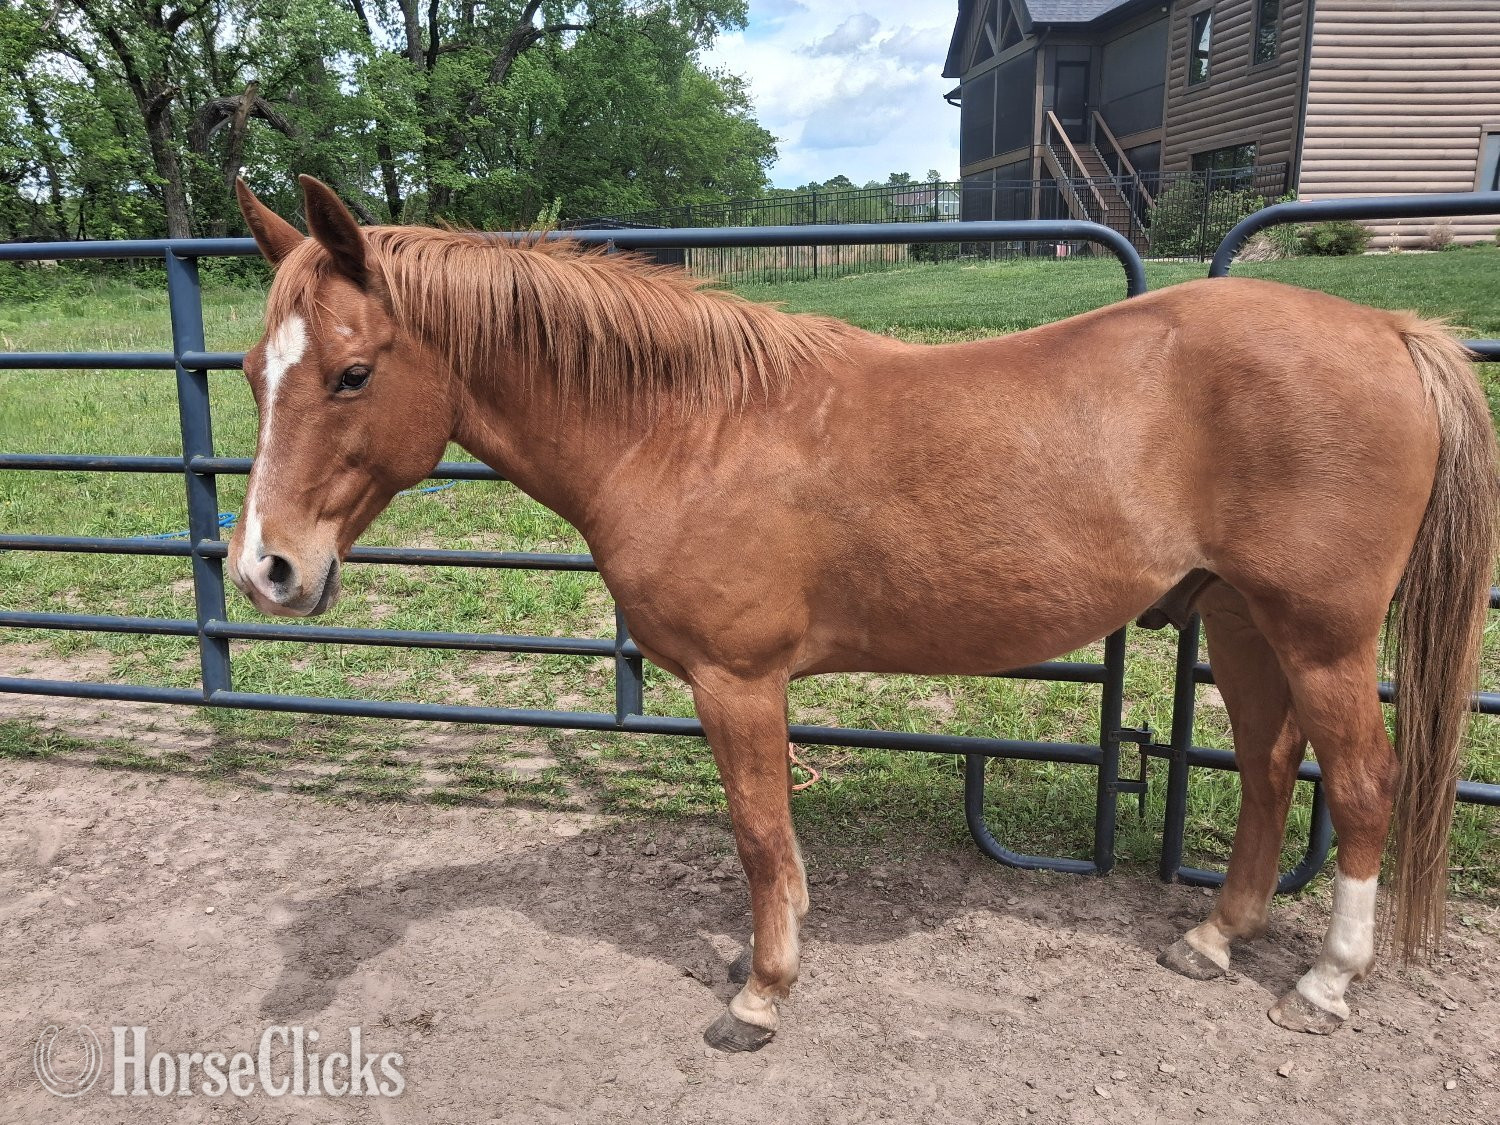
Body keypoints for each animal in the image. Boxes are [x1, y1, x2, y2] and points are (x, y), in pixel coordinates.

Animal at [227, 175, 1496, 1052]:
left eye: (351, 373)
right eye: (249, 372)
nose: (265, 571)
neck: (685, 428)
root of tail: (1391, 332)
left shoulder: (740, 683)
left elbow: (758, 837)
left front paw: (760, 996)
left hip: (1324, 635)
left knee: (1363, 784)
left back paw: (1326, 982)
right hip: (1240, 622)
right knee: (1275, 769)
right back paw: (1215, 938)